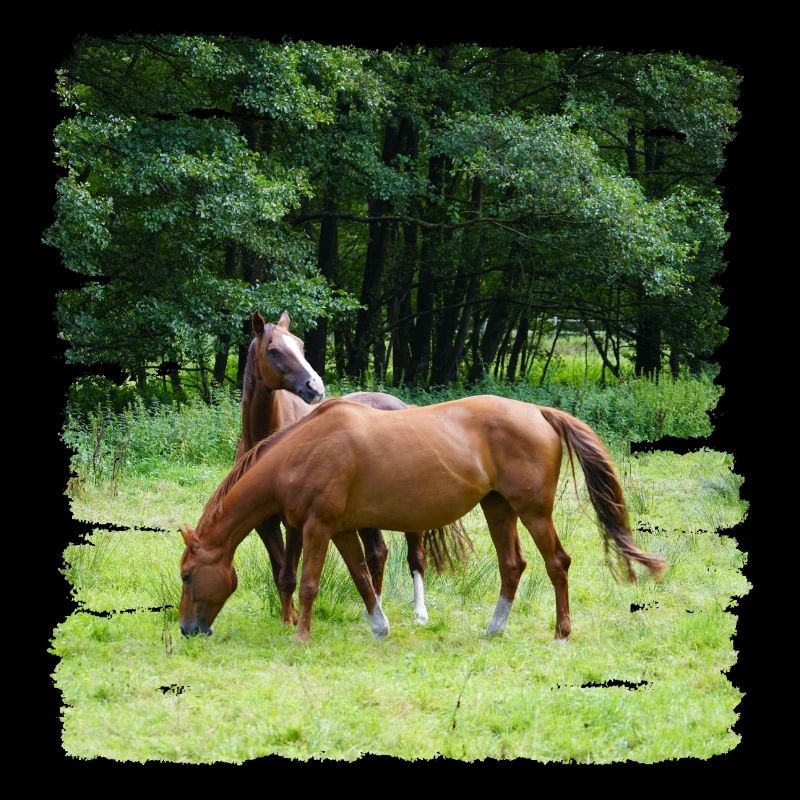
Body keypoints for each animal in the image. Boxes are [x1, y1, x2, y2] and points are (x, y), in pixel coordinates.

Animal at [180, 395, 666, 642]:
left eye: (186, 575)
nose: (187, 630)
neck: (303, 450)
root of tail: (538, 412)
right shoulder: (341, 530)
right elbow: (362, 576)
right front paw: (379, 627)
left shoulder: (318, 527)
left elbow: (310, 583)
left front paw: (300, 637)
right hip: (498, 509)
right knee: (513, 566)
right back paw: (494, 628)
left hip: (532, 513)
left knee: (557, 564)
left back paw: (562, 632)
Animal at [237, 310, 467, 626]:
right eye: (274, 350)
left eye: (301, 345)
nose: (315, 387)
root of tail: (402, 406)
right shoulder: (264, 522)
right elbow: (279, 570)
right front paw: (288, 618)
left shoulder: (295, 521)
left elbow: (289, 573)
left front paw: (290, 621)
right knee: (377, 553)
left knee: (415, 556)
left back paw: (420, 613)